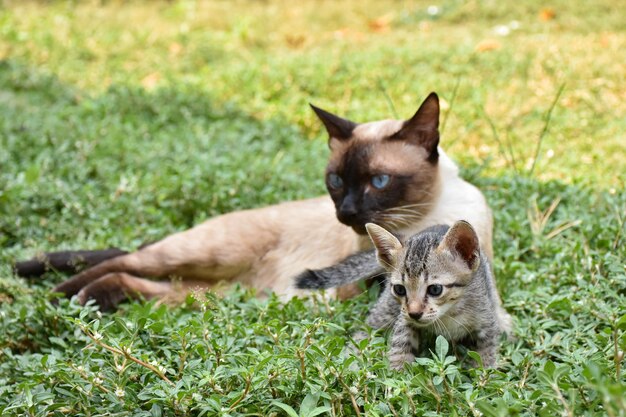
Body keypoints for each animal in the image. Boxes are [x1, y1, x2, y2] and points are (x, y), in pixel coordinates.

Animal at [15, 93, 492, 308]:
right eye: (336, 180)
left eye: (378, 181)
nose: (346, 213)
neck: (421, 220)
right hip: (201, 257)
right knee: (122, 259)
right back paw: (56, 295)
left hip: (213, 296)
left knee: (128, 278)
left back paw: (84, 300)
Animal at [296, 221, 508, 368]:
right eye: (400, 289)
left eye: (435, 289)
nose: (414, 313)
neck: (448, 313)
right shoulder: (403, 319)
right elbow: (401, 344)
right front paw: (398, 377)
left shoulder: (486, 320)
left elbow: (487, 349)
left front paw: (483, 376)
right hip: (387, 309)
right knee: (366, 328)